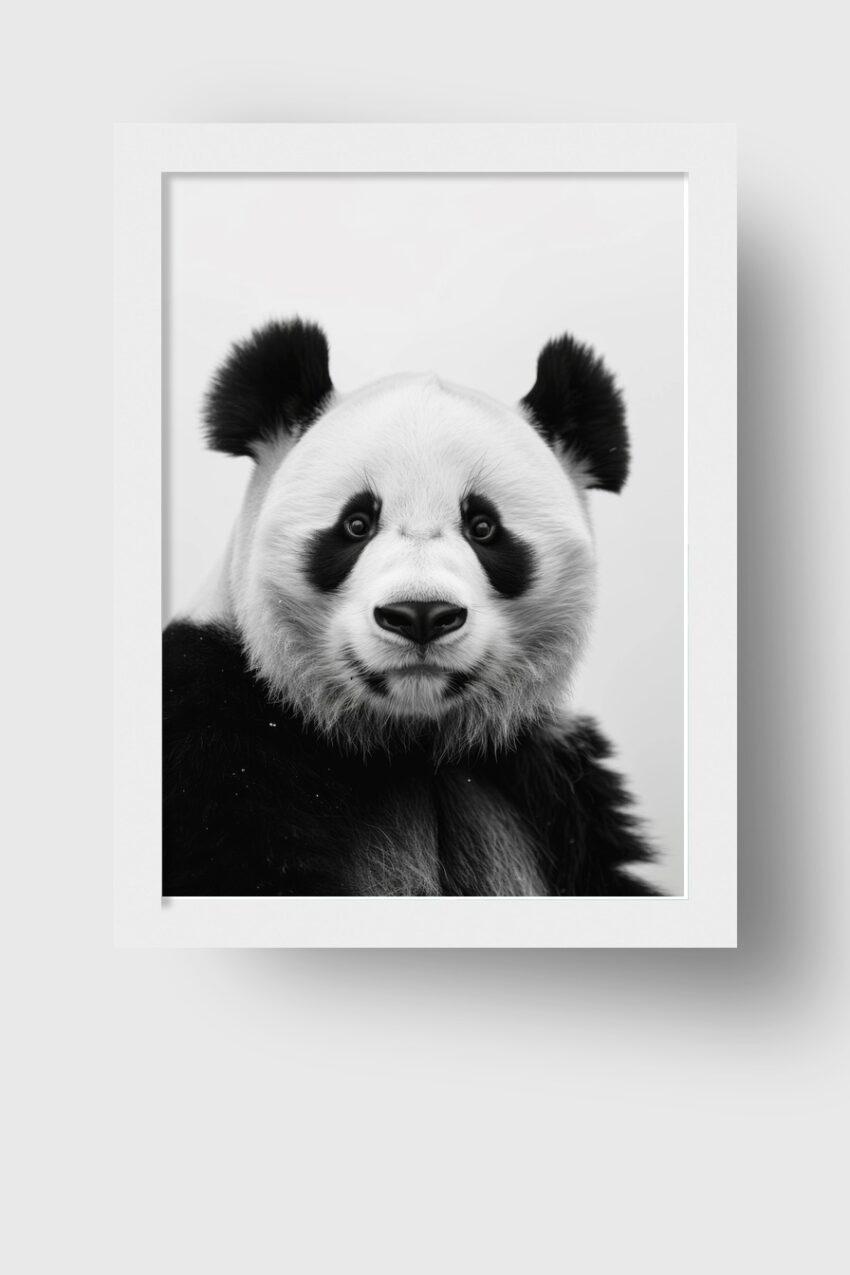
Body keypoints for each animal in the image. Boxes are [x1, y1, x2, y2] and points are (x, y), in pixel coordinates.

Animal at [163, 318, 658, 896]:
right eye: (356, 523)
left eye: (483, 527)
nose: (420, 615)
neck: (407, 744)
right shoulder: (215, 733)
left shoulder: (553, 783)